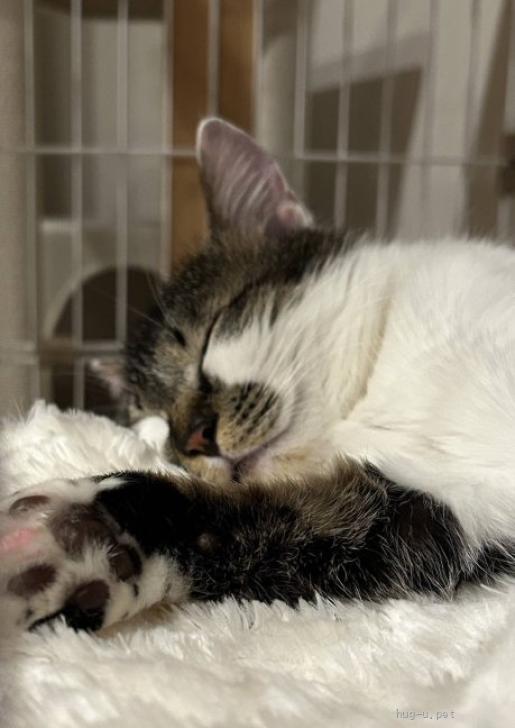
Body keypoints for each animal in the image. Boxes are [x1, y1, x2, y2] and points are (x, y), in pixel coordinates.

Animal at [2, 118, 515, 633]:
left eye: (211, 334)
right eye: (154, 423)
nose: (192, 439)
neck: (371, 392)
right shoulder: (448, 502)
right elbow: (317, 523)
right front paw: (83, 538)